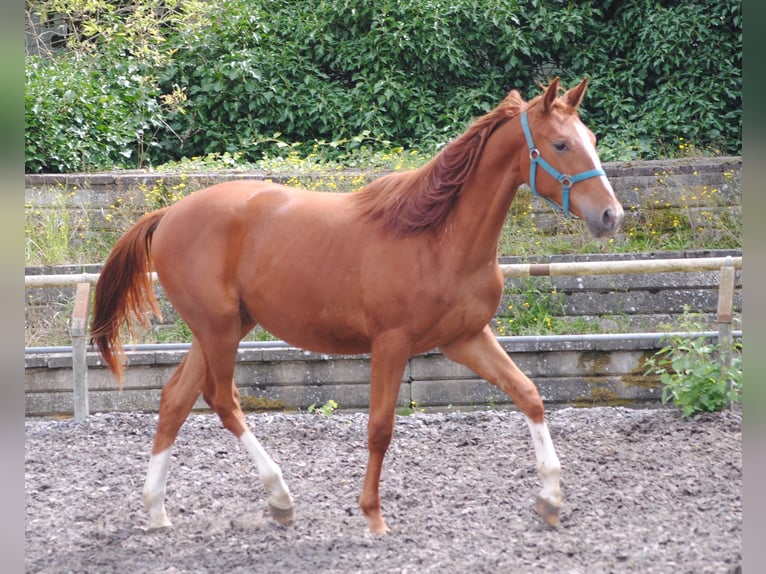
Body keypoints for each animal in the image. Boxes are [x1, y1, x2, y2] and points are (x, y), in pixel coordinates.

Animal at [90, 77, 623, 534]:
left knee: (175, 399)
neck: (439, 238)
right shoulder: (391, 343)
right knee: (223, 401)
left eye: (592, 138)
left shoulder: (466, 338)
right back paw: (280, 498)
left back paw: (158, 511)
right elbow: (380, 428)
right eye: (561, 145)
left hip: (222, 329)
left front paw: (551, 499)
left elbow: (529, 393)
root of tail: (168, 214)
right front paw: (372, 515)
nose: (611, 216)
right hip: (218, 329)